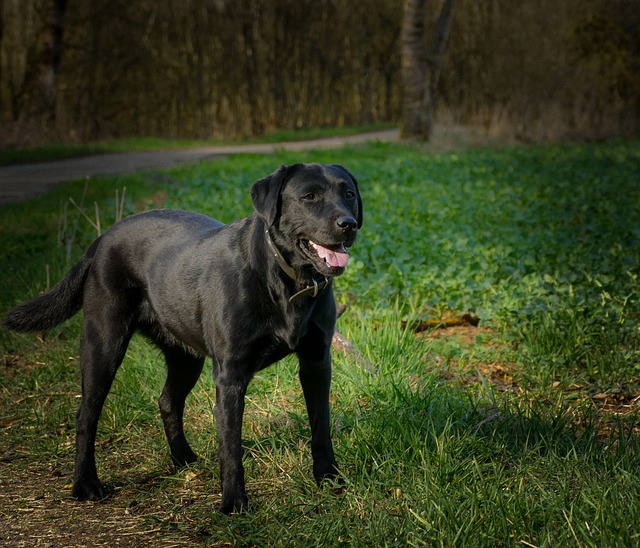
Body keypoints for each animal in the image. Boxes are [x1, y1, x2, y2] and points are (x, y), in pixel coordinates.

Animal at [3, 163, 360, 512]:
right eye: (309, 196)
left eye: (349, 194)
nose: (349, 224)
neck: (286, 280)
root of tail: (104, 237)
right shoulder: (230, 375)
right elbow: (230, 443)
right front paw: (234, 502)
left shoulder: (316, 362)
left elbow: (321, 425)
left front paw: (329, 478)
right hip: (103, 343)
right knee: (86, 414)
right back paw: (86, 484)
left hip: (186, 356)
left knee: (168, 400)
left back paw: (182, 457)